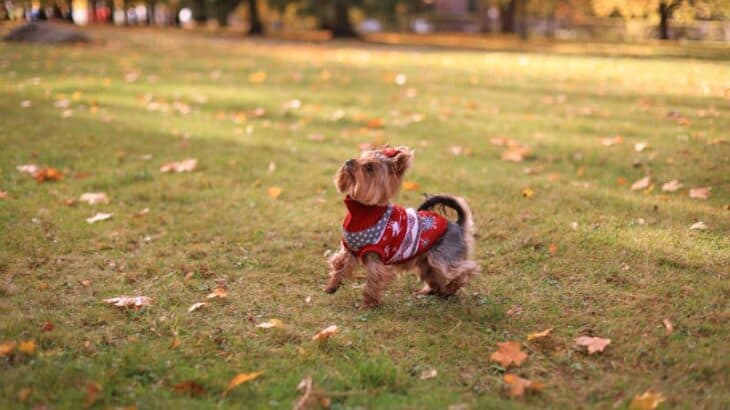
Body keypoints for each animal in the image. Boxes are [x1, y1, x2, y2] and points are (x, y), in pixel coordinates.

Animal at [324, 146, 478, 306]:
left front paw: (369, 304)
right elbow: (340, 265)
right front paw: (332, 286)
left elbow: (373, 281)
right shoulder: (351, 250)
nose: (349, 161)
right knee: (435, 276)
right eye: (361, 157)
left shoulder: (376, 256)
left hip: (443, 256)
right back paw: (435, 291)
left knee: (465, 269)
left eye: (369, 167)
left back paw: (452, 286)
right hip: (426, 261)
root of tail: (457, 226)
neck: (364, 212)